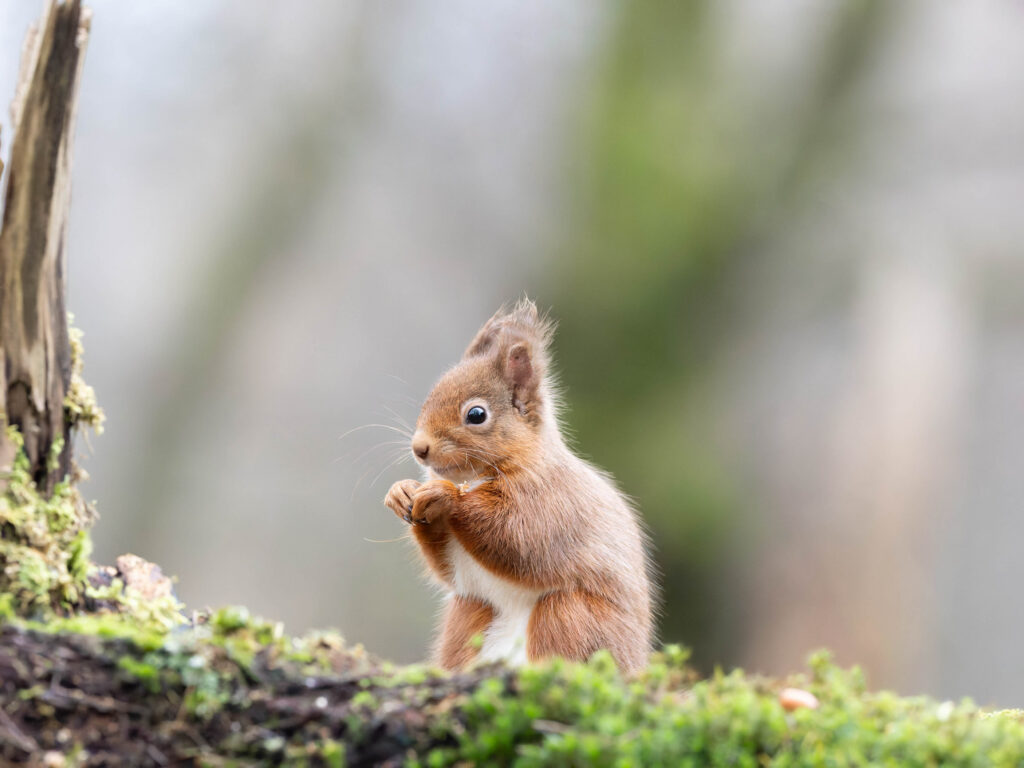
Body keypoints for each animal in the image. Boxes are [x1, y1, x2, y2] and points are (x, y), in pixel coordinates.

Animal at [384, 299, 654, 672]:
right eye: (429, 399)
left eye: (477, 415)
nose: (419, 448)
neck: (475, 477)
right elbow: (446, 569)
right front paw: (401, 492)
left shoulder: (552, 503)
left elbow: (516, 538)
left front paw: (445, 496)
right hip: (471, 611)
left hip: (570, 615)